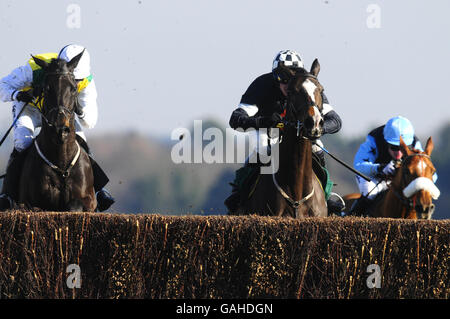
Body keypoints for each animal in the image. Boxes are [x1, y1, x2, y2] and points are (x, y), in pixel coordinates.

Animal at [16, 52, 96, 212]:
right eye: (46, 88)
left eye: (73, 88)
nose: (60, 129)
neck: (61, 163)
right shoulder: (30, 202)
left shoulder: (90, 200)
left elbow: (74, 204)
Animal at [232, 60, 326, 219]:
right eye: (293, 91)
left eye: (321, 90)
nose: (314, 123)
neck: (296, 197)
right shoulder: (257, 87)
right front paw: (272, 119)